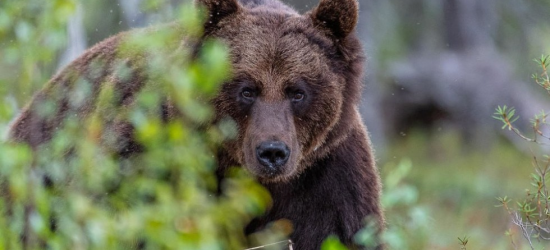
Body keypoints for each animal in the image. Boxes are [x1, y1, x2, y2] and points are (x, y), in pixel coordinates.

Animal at [9, 0, 388, 248]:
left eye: (297, 91)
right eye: (247, 89)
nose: (272, 152)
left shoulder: (328, 175)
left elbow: (338, 232)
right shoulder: (147, 150)